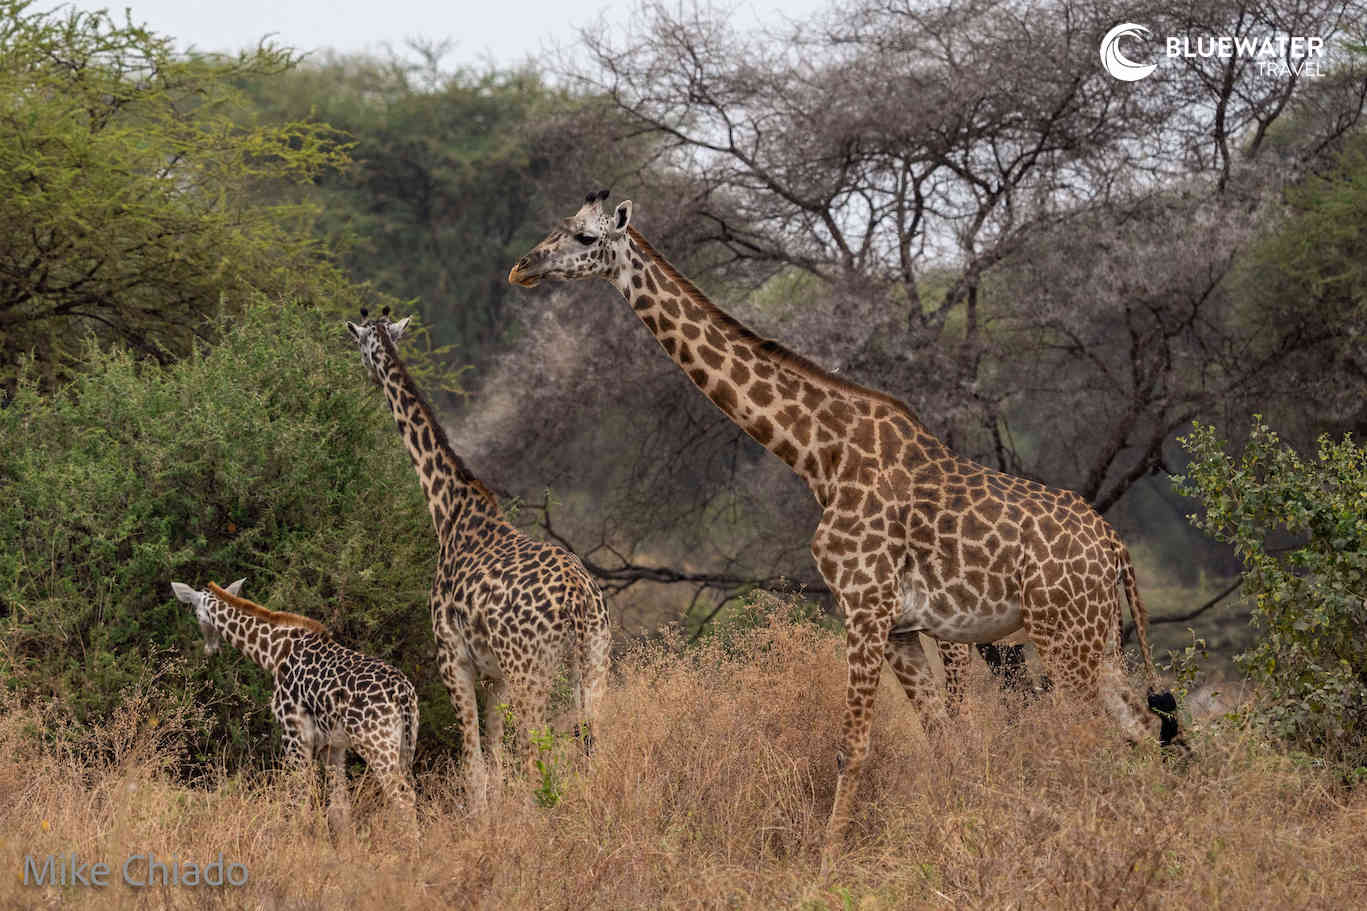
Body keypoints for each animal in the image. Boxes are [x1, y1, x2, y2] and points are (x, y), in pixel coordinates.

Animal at [170, 577, 415, 831]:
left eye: (198, 616)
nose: (211, 650)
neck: (274, 652)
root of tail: (403, 693)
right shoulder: (333, 745)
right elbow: (339, 805)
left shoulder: (295, 733)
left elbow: (300, 795)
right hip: (405, 745)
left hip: (376, 744)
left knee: (404, 796)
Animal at [344, 306, 612, 804]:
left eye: (360, 344)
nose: (367, 377)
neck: (447, 509)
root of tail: (579, 603)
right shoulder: (495, 675)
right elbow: (495, 759)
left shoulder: (453, 658)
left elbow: (474, 763)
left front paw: (482, 817)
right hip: (594, 659)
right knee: (589, 740)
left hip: (533, 670)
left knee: (538, 748)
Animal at [513, 190, 1175, 853]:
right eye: (559, 227)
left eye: (583, 236)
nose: (522, 267)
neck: (818, 456)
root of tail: (1114, 545)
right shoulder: (901, 625)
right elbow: (943, 741)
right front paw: (955, 835)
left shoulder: (863, 605)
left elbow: (851, 747)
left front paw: (829, 861)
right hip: (1096, 637)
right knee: (1142, 730)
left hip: (1065, 635)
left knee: (1108, 734)